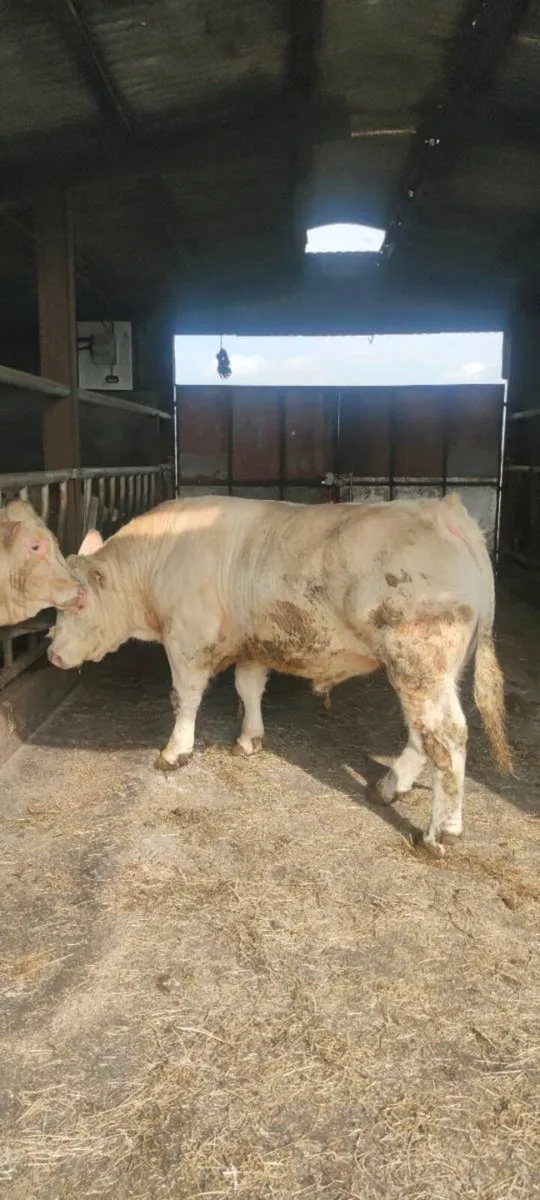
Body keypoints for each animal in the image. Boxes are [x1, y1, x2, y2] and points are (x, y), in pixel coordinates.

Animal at [47, 492, 512, 855]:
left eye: (78, 603)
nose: (51, 654)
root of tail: (446, 511)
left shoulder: (187, 639)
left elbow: (185, 697)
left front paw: (175, 751)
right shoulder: (253, 641)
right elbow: (249, 688)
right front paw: (249, 739)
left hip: (419, 659)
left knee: (447, 735)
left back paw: (441, 833)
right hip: (427, 672)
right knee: (423, 732)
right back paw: (388, 787)